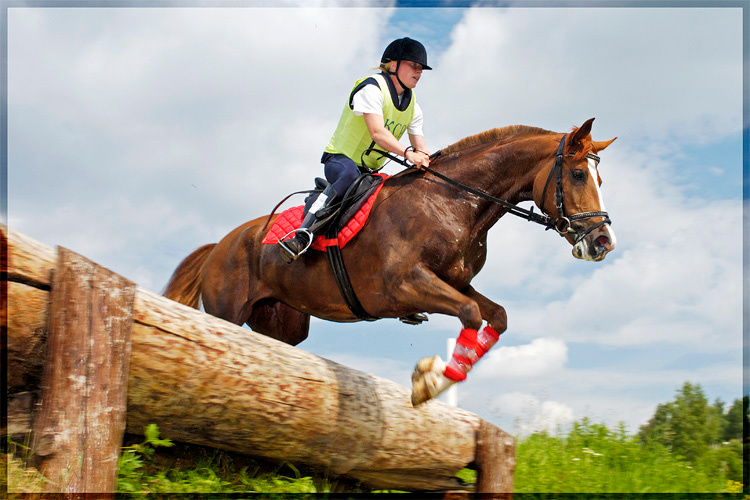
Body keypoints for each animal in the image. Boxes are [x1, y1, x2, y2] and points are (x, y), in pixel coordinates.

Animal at [164, 117, 617, 405]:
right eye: (578, 175)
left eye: (599, 178)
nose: (603, 242)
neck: (455, 202)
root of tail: (220, 245)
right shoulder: (405, 284)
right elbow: (470, 313)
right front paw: (429, 382)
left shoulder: (456, 283)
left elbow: (496, 316)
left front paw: (441, 379)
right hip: (228, 312)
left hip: (282, 324)